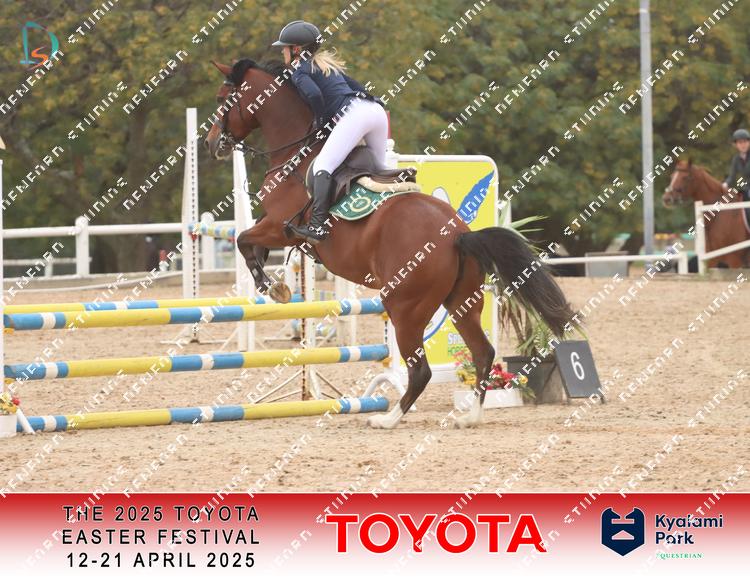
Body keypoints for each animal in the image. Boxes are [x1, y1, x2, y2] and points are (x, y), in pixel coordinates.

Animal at [205, 59, 574, 429]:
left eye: (223, 99)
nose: (210, 144)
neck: (296, 153)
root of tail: (457, 234)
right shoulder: (274, 228)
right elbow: (251, 244)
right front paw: (276, 285)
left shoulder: (282, 227)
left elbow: (244, 240)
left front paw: (271, 286)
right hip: (462, 303)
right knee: (482, 353)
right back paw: (469, 417)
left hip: (404, 307)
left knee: (421, 370)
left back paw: (388, 419)